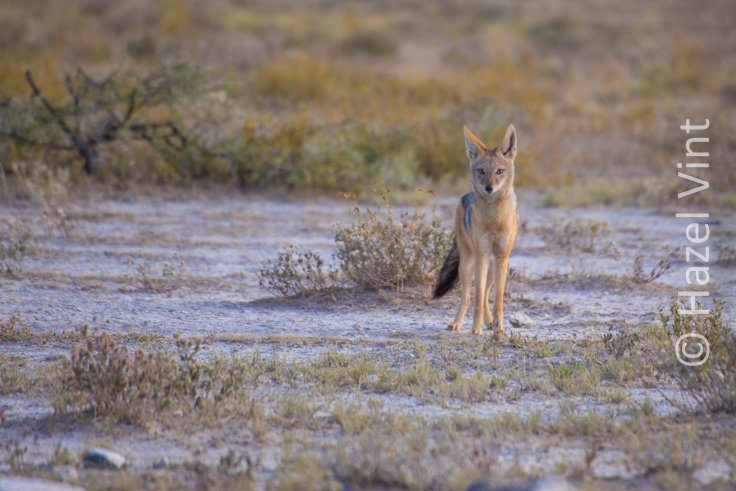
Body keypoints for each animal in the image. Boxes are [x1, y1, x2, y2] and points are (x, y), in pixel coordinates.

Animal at [432, 124, 519, 335]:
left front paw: (499, 328)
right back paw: (457, 323)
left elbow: (497, 301)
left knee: (487, 293)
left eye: (499, 171)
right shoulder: (481, 257)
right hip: (467, 264)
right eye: (481, 171)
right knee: (467, 296)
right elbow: (477, 299)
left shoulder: (501, 258)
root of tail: (465, 196)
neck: (494, 219)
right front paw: (475, 329)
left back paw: (490, 322)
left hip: (491, 268)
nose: (489, 188)